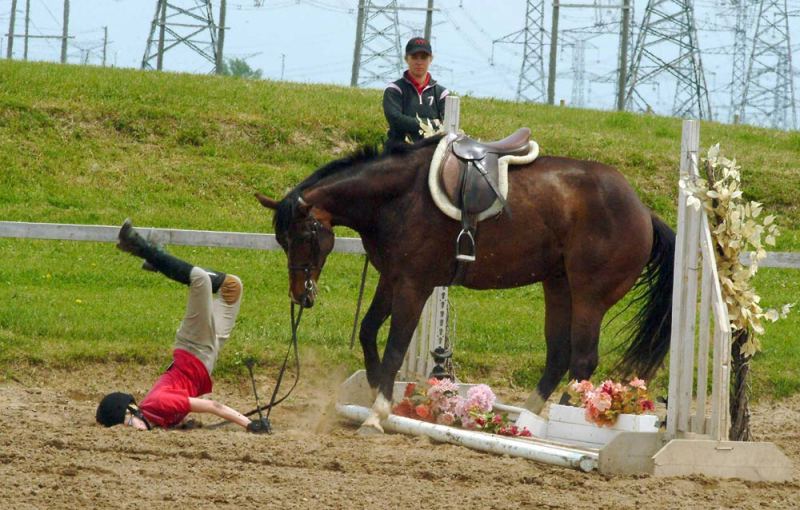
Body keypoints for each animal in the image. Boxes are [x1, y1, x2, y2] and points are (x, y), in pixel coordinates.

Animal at [258, 132, 676, 434]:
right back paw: (525, 420)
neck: (397, 196)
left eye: (304, 236)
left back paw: (563, 420)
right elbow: (368, 331)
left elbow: (395, 347)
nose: (300, 296)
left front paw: (377, 414)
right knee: (558, 356)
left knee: (583, 360)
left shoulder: (414, 285)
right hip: (558, 287)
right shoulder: (391, 277)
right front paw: (378, 389)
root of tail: (643, 210)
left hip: (589, 295)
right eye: (282, 239)